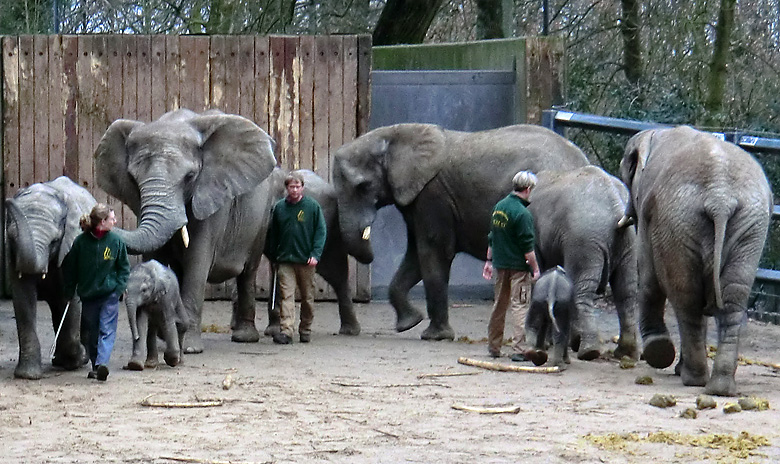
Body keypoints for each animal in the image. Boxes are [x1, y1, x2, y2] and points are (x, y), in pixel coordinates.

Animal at [4, 176, 93, 378]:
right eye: (12, 237)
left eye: (55, 241)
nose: (7, 200)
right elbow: (23, 297)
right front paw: (28, 376)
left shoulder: (72, 242)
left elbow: (71, 299)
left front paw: (77, 361)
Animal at [95, 109, 278, 354]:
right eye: (133, 179)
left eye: (190, 177)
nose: (96, 217)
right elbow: (155, 256)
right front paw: (163, 336)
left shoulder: (211, 195)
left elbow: (196, 262)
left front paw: (190, 348)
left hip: (262, 215)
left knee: (248, 271)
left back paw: (244, 337)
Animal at [330, 123, 592, 340]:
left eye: (362, 186)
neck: (394, 134)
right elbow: (415, 256)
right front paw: (409, 324)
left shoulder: (433, 194)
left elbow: (432, 252)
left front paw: (435, 336)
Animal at [528, 165, 636, 360]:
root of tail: (616, 205)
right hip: (628, 240)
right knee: (627, 291)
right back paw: (626, 353)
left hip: (583, 239)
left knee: (581, 289)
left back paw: (588, 352)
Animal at [620, 126, 772, 396]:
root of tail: (720, 197)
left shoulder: (650, 215)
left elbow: (647, 276)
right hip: (748, 225)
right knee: (732, 298)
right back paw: (720, 387)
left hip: (677, 220)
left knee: (685, 297)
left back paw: (692, 378)